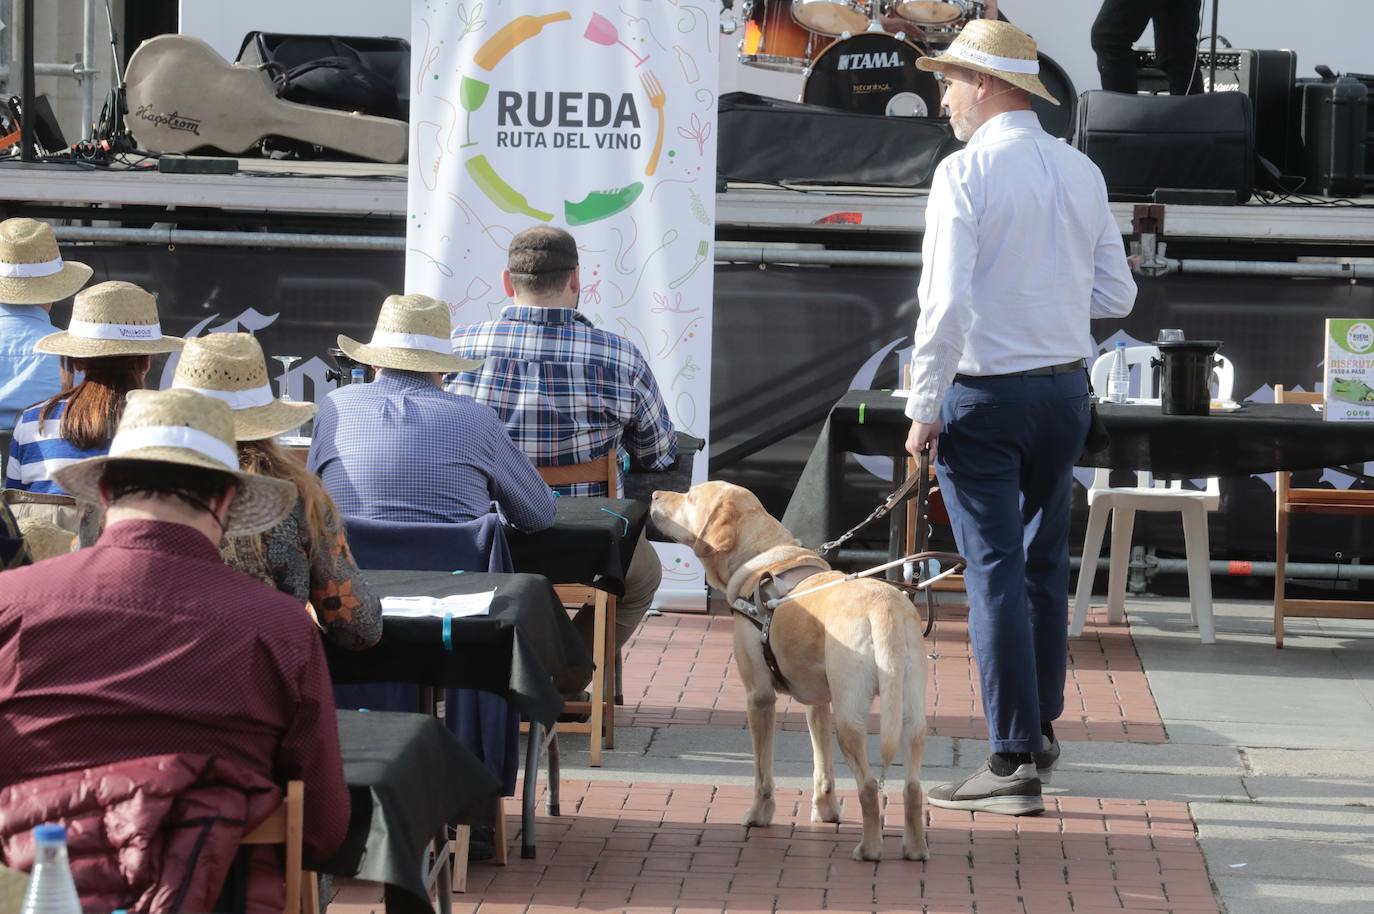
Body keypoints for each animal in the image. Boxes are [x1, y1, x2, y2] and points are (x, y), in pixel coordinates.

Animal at [648, 481, 928, 857]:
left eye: (691, 497)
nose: (653, 495)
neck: (763, 556)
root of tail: (885, 607)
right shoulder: (819, 703)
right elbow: (822, 767)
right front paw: (825, 812)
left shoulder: (759, 697)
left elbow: (762, 771)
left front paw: (758, 815)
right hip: (909, 715)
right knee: (912, 787)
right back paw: (915, 849)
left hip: (850, 719)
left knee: (869, 786)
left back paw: (869, 849)